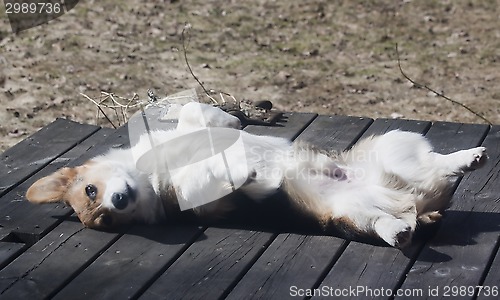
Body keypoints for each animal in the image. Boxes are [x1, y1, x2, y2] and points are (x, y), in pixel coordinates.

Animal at [25, 102, 486, 247]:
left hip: (393, 145)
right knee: (384, 223)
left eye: (91, 189)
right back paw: (400, 229)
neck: (153, 179)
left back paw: (468, 158)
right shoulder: (199, 199)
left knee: (434, 168)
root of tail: (417, 203)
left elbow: (198, 116)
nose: (117, 201)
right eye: (104, 217)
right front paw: (240, 174)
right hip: (352, 212)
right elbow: (206, 179)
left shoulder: (192, 127)